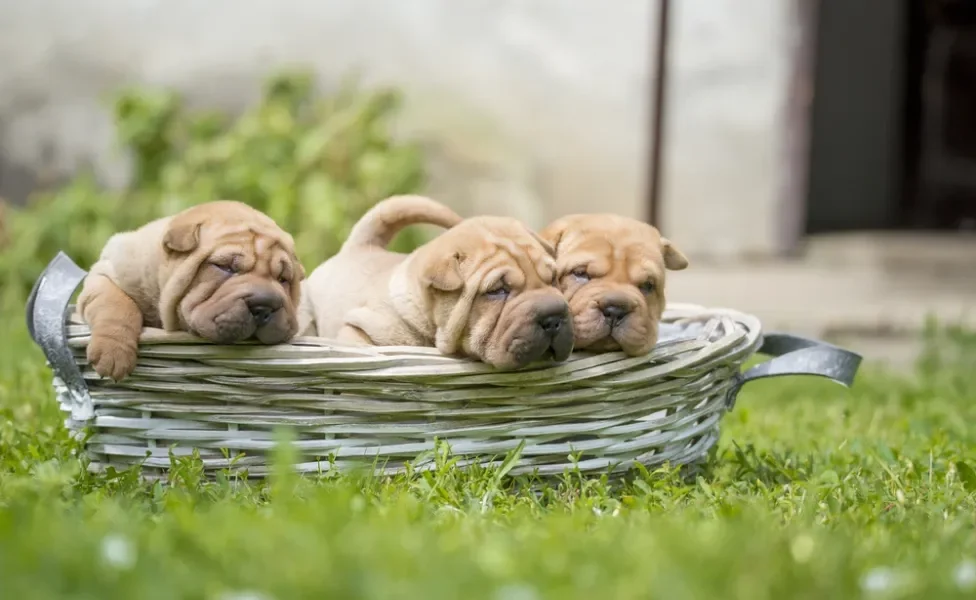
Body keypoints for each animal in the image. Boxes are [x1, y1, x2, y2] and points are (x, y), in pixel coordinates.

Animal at [78, 200, 304, 380]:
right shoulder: (107, 273)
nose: (264, 306)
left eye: (283, 279)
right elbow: (116, 305)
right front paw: (113, 353)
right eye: (226, 267)